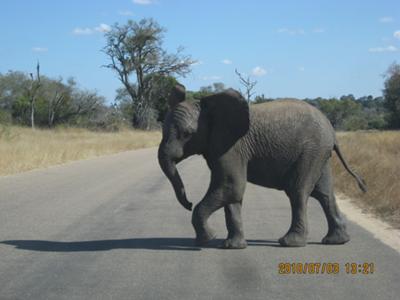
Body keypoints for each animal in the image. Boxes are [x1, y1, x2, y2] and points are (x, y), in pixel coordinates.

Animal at [157, 84, 366, 248]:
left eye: (186, 134)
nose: (188, 203)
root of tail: (332, 130)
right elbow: (231, 194)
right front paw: (233, 246)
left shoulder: (231, 147)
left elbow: (230, 187)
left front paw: (207, 239)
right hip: (319, 152)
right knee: (324, 193)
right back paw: (337, 241)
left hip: (311, 150)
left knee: (298, 191)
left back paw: (290, 242)